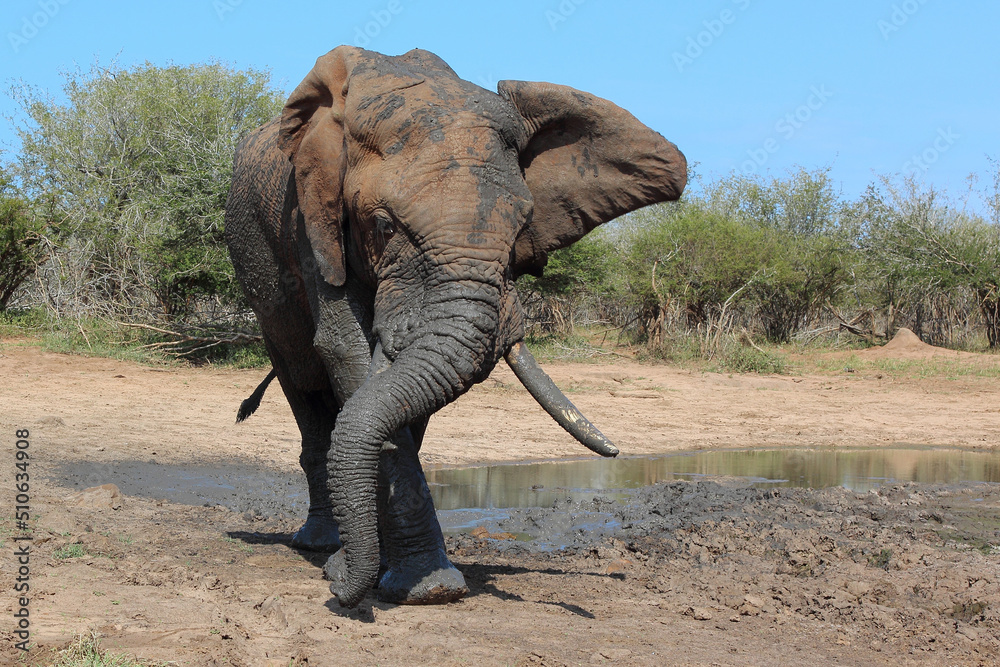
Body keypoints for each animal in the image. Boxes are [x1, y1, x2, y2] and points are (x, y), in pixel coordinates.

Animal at [224, 46, 686, 608]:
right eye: (383, 226)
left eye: (522, 228)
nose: (337, 589)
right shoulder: (311, 220)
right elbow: (346, 350)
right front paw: (424, 587)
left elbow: (398, 402)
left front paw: (410, 581)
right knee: (303, 382)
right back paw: (318, 544)